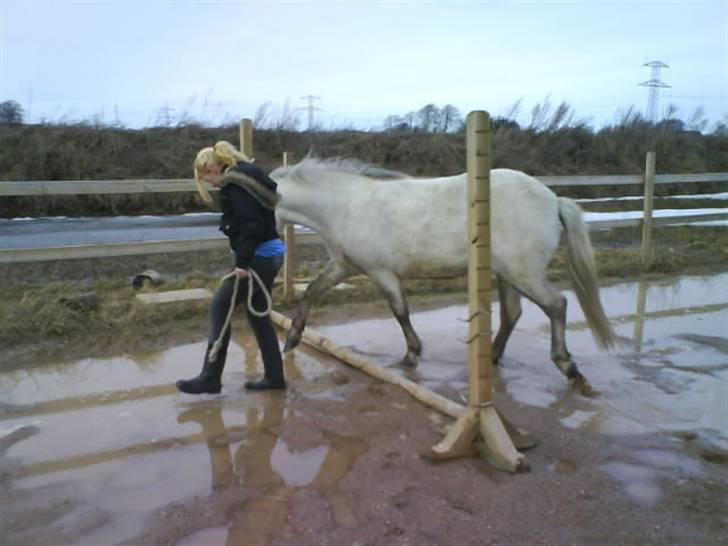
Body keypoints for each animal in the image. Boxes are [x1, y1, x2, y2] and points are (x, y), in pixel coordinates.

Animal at [270, 157, 617, 386]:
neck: (346, 205)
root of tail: (553, 200)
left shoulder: (382, 272)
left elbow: (400, 311)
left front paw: (412, 353)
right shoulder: (344, 267)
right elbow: (312, 290)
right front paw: (292, 339)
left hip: (523, 273)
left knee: (556, 305)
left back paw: (567, 366)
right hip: (507, 274)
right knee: (512, 313)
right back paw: (492, 357)